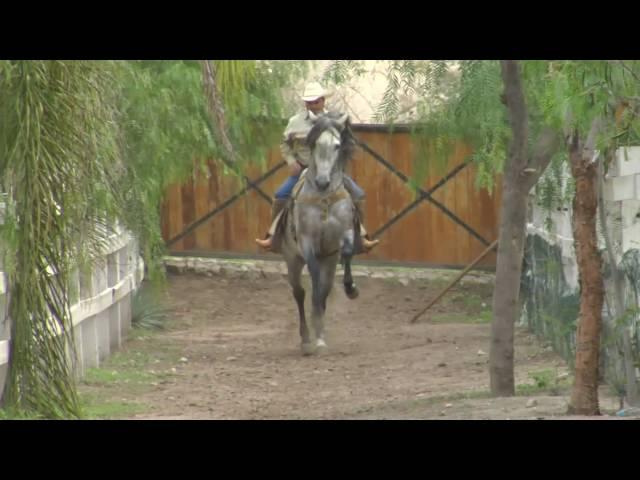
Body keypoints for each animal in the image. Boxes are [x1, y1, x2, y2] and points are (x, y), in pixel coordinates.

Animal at [278, 110, 362, 354]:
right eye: (314, 143)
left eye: (337, 145)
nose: (323, 182)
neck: (324, 198)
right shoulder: (307, 244)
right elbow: (314, 284)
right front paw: (315, 337)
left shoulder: (343, 235)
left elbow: (347, 253)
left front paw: (351, 288)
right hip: (292, 259)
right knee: (299, 293)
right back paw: (306, 339)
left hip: (329, 260)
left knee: (323, 289)